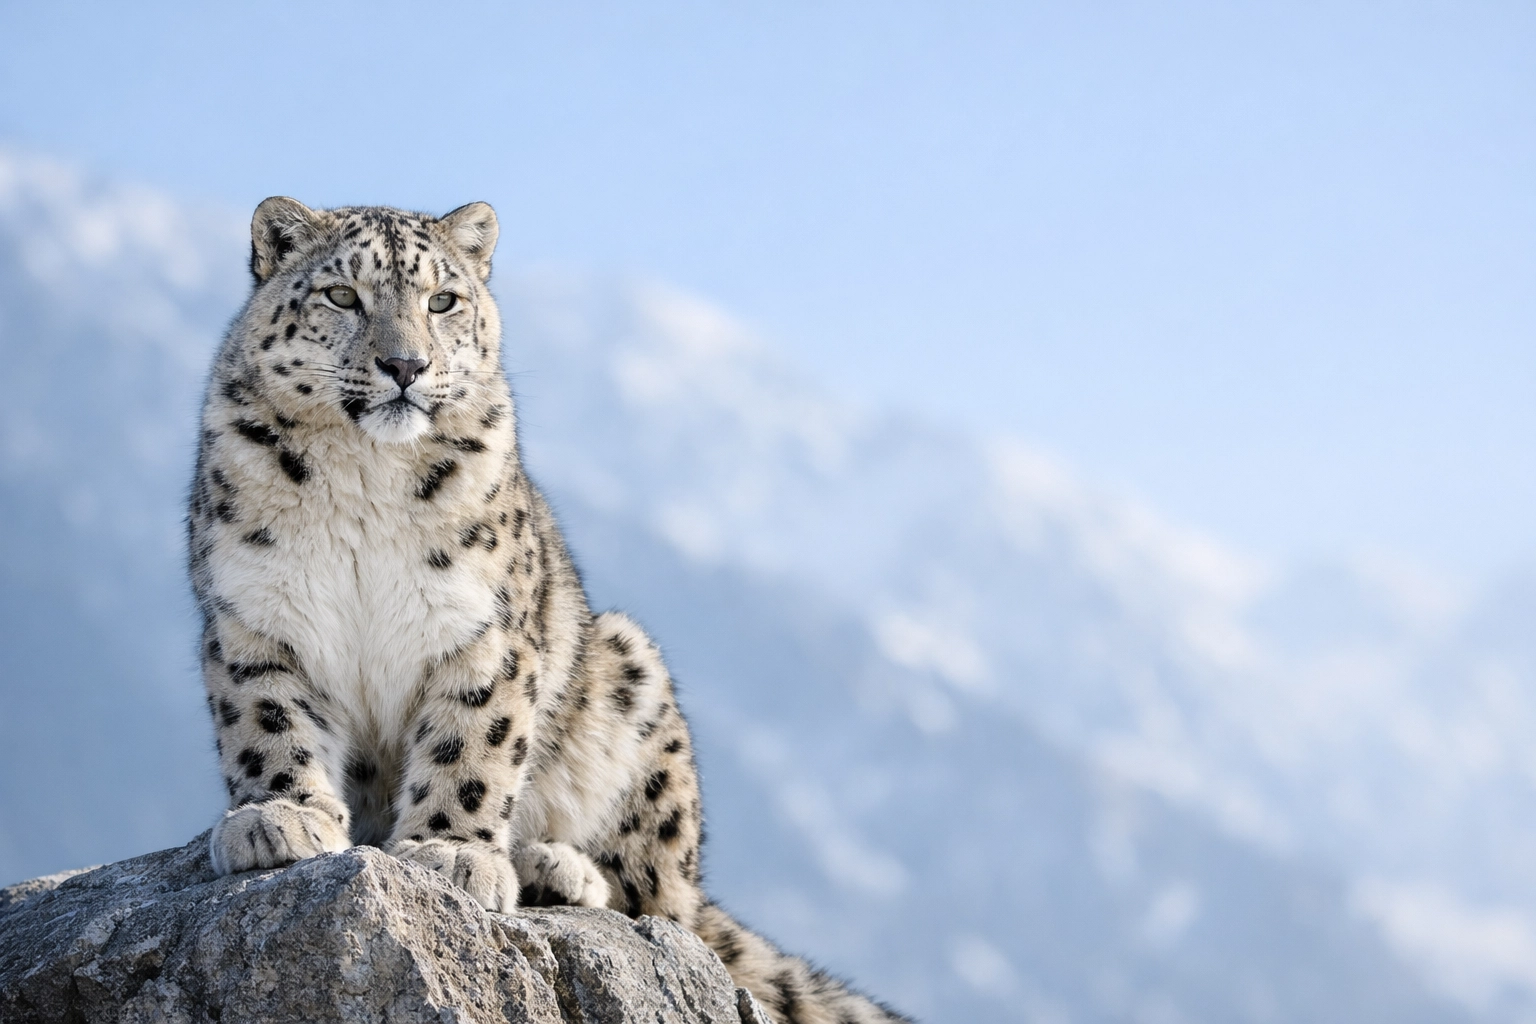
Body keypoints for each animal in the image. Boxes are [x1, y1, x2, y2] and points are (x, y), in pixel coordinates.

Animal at [187, 196, 911, 1024]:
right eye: (342, 295)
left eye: (443, 300)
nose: (406, 366)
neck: (365, 478)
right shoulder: (253, 615)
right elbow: (267, 721)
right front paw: (280, 816)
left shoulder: (485, 630)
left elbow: (472, 745)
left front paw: (452, 851)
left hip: (632, 681)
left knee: (659, 898)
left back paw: (553, 864)